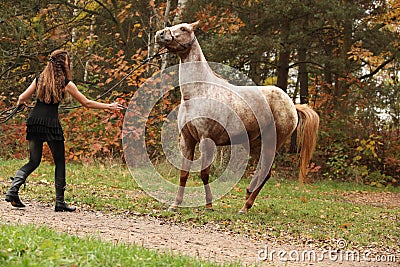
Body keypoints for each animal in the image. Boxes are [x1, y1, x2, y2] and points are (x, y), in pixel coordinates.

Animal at [155, 21, 320, 215]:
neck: (198, 92)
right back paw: (247, 197)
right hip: (257, 144)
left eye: (184, 29)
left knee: (266, 172)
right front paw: (175, 204)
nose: (160, 34)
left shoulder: (206, 140)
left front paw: (209, 205)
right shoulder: (187, 140)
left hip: (271, 143)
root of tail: (293, 106)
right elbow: (184, 173)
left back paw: (245, 207)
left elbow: (204, 174)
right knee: (262, 171)